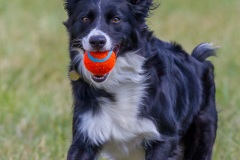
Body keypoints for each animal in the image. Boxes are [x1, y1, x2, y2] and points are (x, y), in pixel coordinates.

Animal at [63, 0, 218, 159]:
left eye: (116, 19)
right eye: (85, 19)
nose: (96, 41)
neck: (119, 80)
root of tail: (198, 60)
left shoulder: (163, 137)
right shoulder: (86, 135)